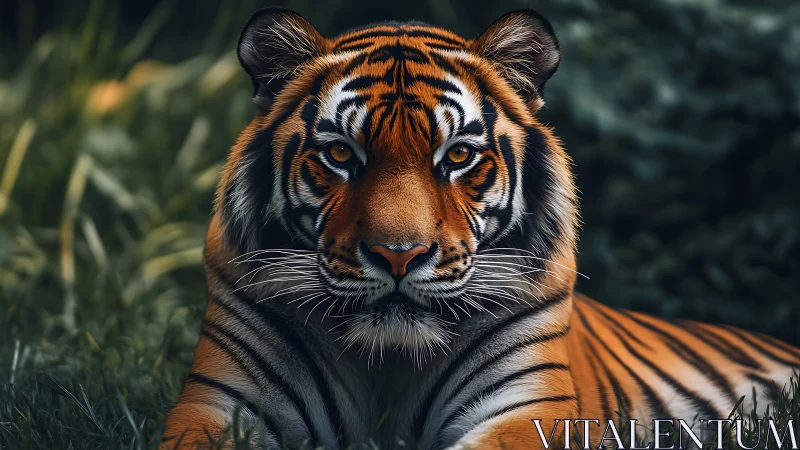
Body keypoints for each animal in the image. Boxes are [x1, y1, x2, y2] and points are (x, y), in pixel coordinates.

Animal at [161, 7, 800, 450]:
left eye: (459, 156)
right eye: (341, 154)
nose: (398, 255)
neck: (386, 365)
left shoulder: (530, 409)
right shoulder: (219, 405)